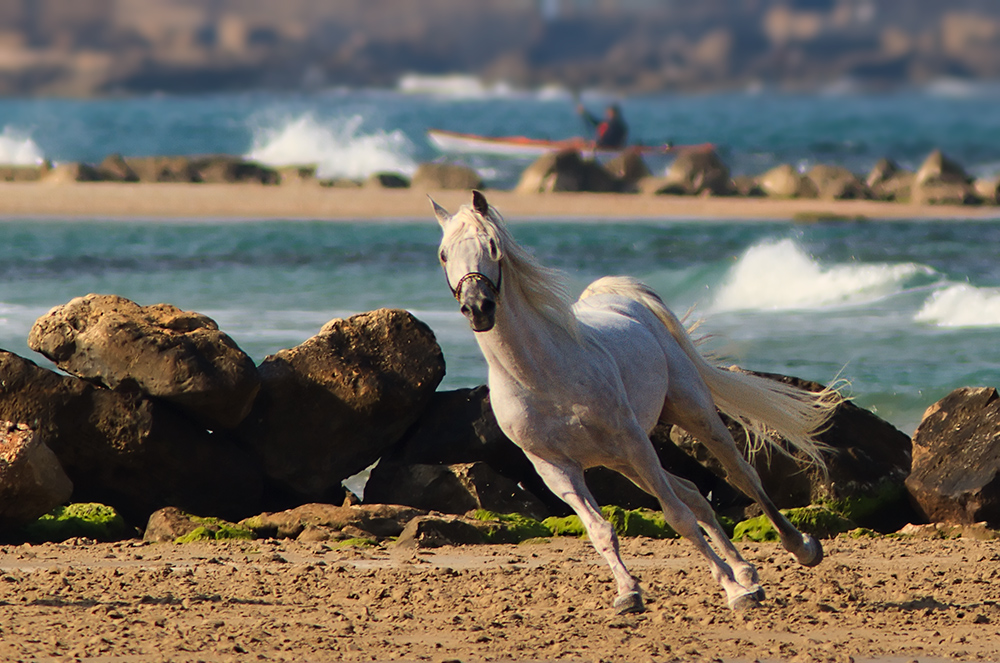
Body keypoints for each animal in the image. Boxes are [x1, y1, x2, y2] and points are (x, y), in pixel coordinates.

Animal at [434, 191, 840, 612]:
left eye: (492, 246)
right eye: (444, 254)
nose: (477, 307)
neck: (540, 375)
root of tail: (624, 301)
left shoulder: (633, 442)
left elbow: (677, 517)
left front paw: (732, 591)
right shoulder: (555, 469)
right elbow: (600, 530)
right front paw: (629, 593)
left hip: (686, 417)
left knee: (740, 476)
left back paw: (798, 550)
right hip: (621, 462)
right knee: (693, 493)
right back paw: (748, 576)